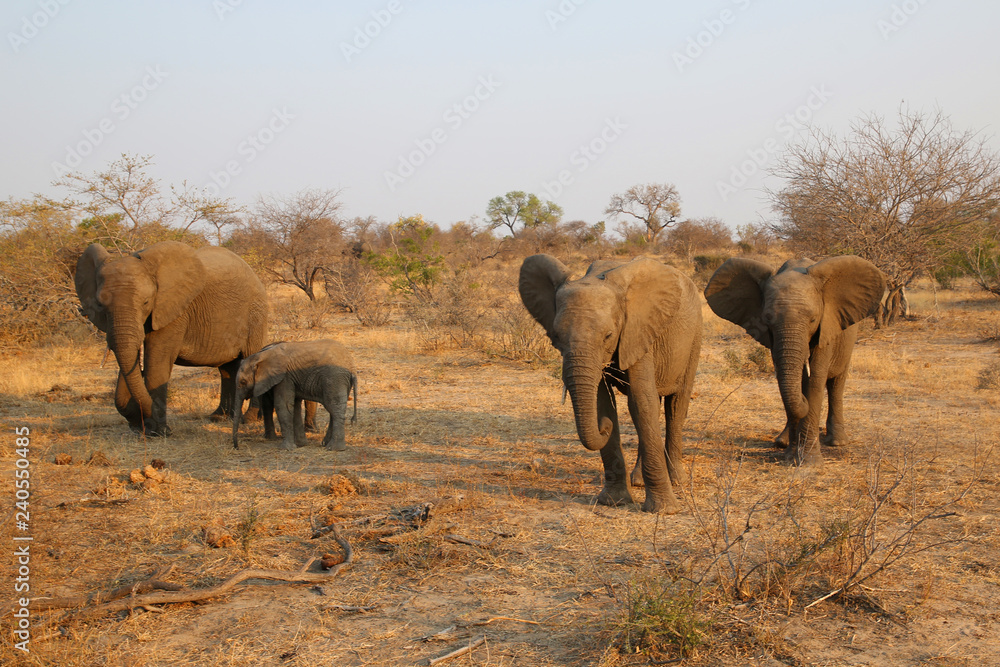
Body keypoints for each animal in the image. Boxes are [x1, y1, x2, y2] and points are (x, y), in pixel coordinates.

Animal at [75, 241, 268, 436]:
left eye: (146, 302)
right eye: (100, 304)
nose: (140, 423)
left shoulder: (173, 312)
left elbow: (157, 363)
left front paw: (159, 432)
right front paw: (140, 427)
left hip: (255, 315)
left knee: (250, 359)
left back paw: (248, 419)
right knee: (227, 368)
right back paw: (219, 417)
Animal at [519, 254, 702, 514]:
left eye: (608, 335)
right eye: (556, 336)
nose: (603, 428)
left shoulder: (637, 329)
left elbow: (641, 402)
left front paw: (664, 510)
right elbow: (604, 402)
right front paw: (613, 501)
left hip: (694, 336)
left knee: (676, 405)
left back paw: (677, 480)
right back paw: (638, 481)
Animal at [703, 256, 886, 466]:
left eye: (813, 319)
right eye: (767, 319)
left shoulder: (826, 329)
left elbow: (814, 382)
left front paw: (808, 462)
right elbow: (786, 382)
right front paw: (791, 456)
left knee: (836, 384)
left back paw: (837, 442)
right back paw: (781, 441)